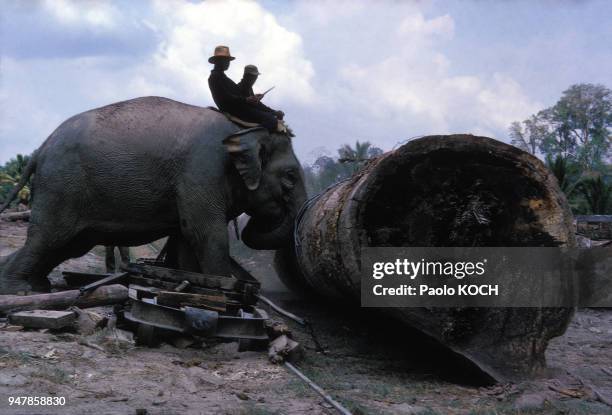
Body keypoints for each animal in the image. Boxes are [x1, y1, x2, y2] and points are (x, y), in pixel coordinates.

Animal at [0, 96, 306, 294]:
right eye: (290, 177)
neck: (241, 129)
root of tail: (42, 147)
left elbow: (186, 237)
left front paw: (193, 283)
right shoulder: (202, 170)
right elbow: (205, 233)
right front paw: (228, 291)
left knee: (65, 245)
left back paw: (32, 284)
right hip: (61, 186)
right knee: (48, 238)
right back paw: (20, 290)